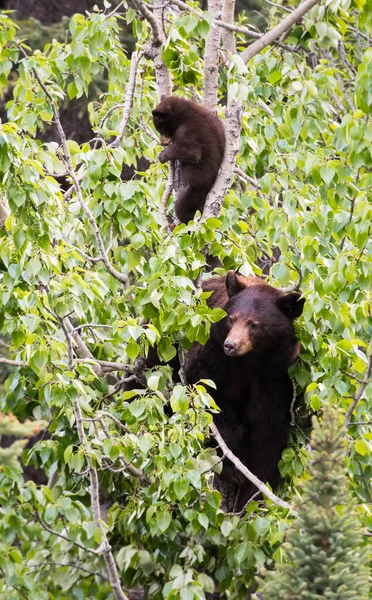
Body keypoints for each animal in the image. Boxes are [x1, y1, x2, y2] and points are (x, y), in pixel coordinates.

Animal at [186, 272, 306, 510]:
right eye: (231, 318)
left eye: (254, 324)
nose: (231, 345)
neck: (249, 360)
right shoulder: (213, 355)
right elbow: (211, 398)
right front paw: (233, 467)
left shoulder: (275, 376)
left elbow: (268, 431)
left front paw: (252, 496)